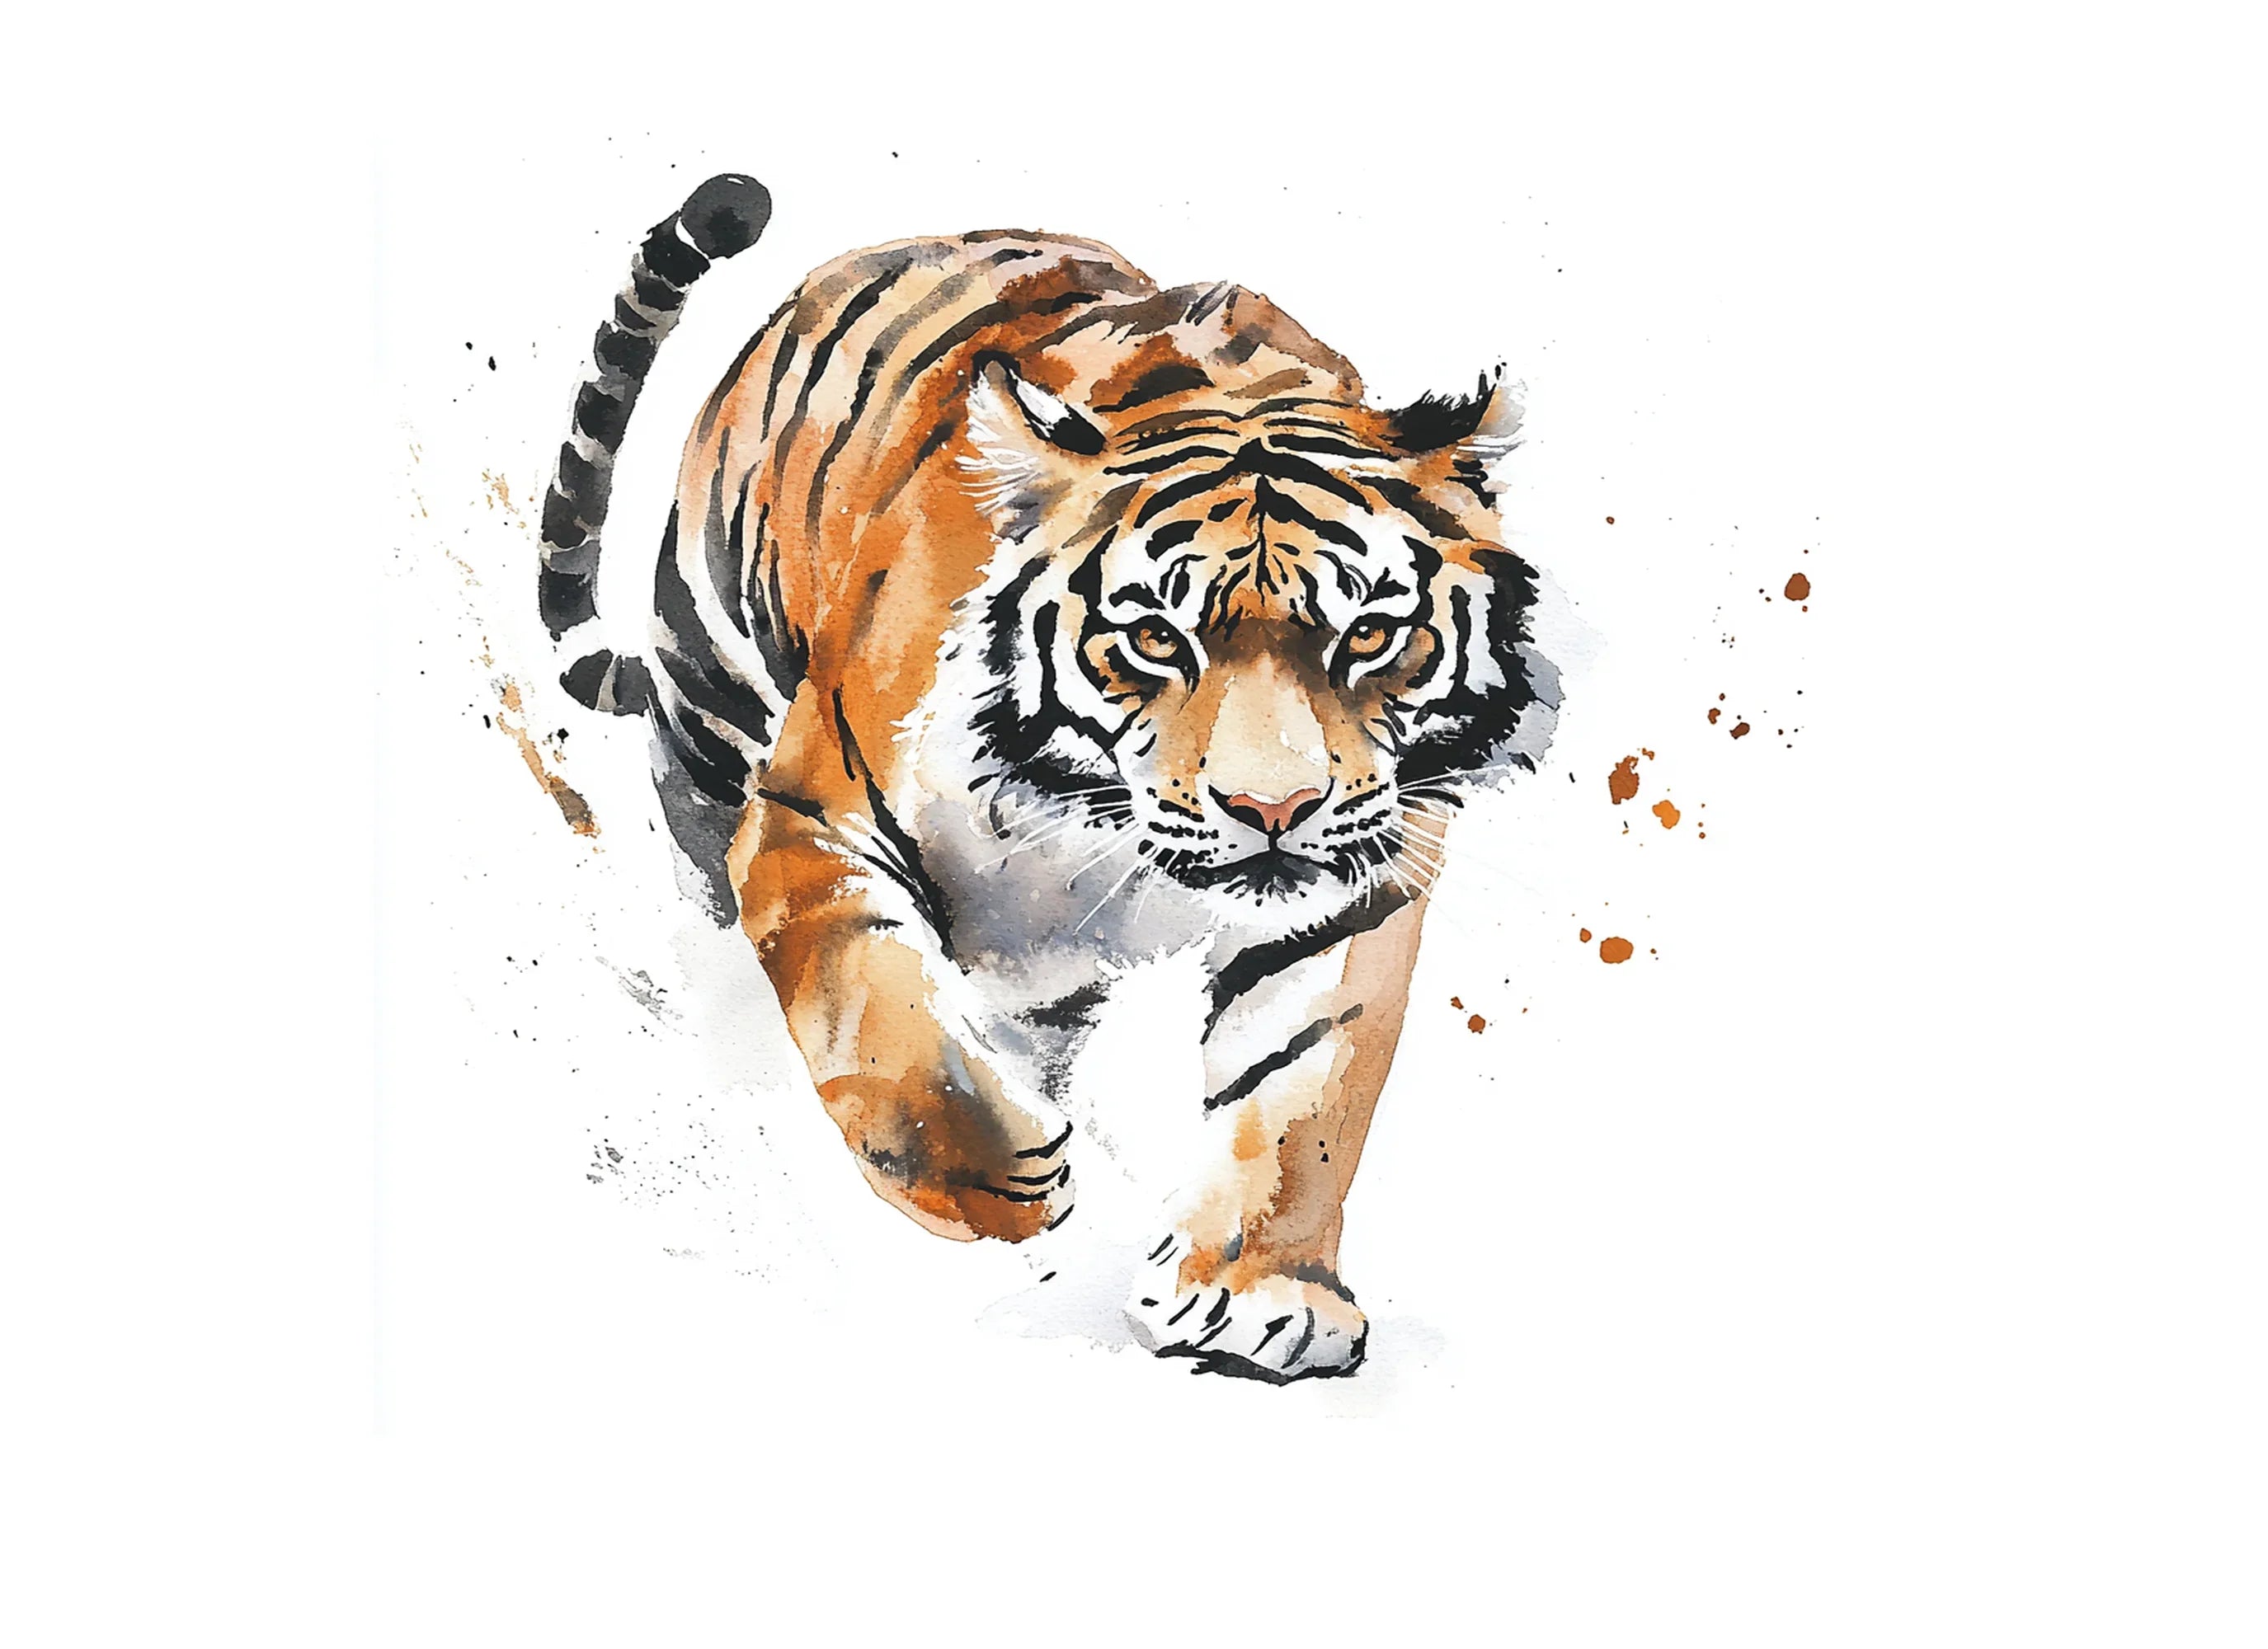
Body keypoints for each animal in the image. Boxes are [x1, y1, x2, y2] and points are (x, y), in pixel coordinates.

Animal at [537, 173, 1557, 1382]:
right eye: (1155, 636)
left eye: (1368, 634)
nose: (1273, 809)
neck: (1099, 823)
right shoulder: (811, 814)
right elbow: (874, 1015)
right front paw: (998, 1183)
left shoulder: (1351, 890)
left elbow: (1307, 1093)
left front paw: (1258, 1292)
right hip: (710, 687)